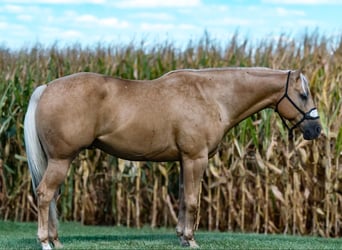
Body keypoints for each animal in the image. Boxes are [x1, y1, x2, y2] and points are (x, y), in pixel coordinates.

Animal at [24, 67, 320, 249]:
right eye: (303, 94)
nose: (315, 129)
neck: (211, 96)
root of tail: (47, 87)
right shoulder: (195, 158)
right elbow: (192, 201)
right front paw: (191, 239)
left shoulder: (183, 160)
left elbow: (181, 199)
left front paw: (181, 238)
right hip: (61, 160)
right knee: (45, 194)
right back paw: (45, 241)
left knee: (51, 197)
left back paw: (56, 240)